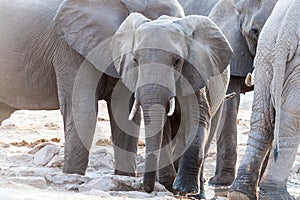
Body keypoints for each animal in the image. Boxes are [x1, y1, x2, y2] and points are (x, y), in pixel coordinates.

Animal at [0, 0, 185, 178]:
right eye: (137, 58)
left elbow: (123, 115)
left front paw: (124, 178)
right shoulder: (70, 49)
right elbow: (83, 111)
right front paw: (72, 175)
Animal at [109, 12, 233, 194]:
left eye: (177, 61)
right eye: (135, 60)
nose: (147, 189)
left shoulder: (193, 73)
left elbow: (197, 119)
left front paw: (184, 188)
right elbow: (163, 127)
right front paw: (168, 185)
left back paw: (198, 192)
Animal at [227, 0, 300, 200]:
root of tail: (286, 32)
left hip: (266, 53)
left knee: (263, 119)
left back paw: (240, 193)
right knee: (289, 121)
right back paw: (278, 196)